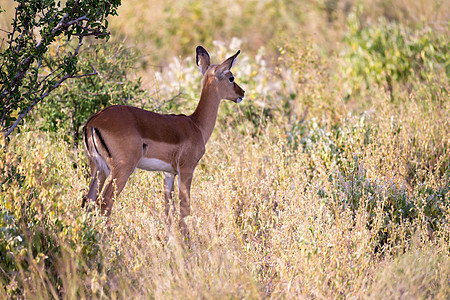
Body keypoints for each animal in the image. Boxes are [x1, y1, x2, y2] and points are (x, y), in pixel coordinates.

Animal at [83, 46, 246, 234]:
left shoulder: (168, 173)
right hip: (121, 170)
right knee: (105, 204)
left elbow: (168, 209)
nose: (242, 93)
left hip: (98, 169)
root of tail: (94, 120)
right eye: (231, 77)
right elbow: (184, 208)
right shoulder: (186, 169)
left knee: (88, 201)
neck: (196, 124)